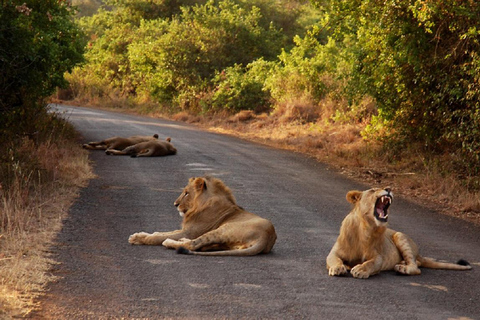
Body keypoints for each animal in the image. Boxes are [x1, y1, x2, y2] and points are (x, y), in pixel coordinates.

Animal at [127, 176, 278, 256]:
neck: (199, 205)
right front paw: (141, 234)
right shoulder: (185, 229)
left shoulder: (190, 231)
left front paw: (138, 238)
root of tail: (267, 237)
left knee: (193, 244)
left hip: (223, 229)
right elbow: (162, 232)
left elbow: (158, 237)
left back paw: (170, 242)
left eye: (186, 193)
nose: (175, 204)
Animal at [326, 186, 472, 278]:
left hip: (400, 235)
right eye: (373, 190)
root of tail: (419, 254)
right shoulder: (335, 252)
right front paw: (338, 268)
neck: (365, 228)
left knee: (416, 267)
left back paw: (402, 268)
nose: (389, 188)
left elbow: (372, 263)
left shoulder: (378, 256)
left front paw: (361, 269)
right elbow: (333, 258)